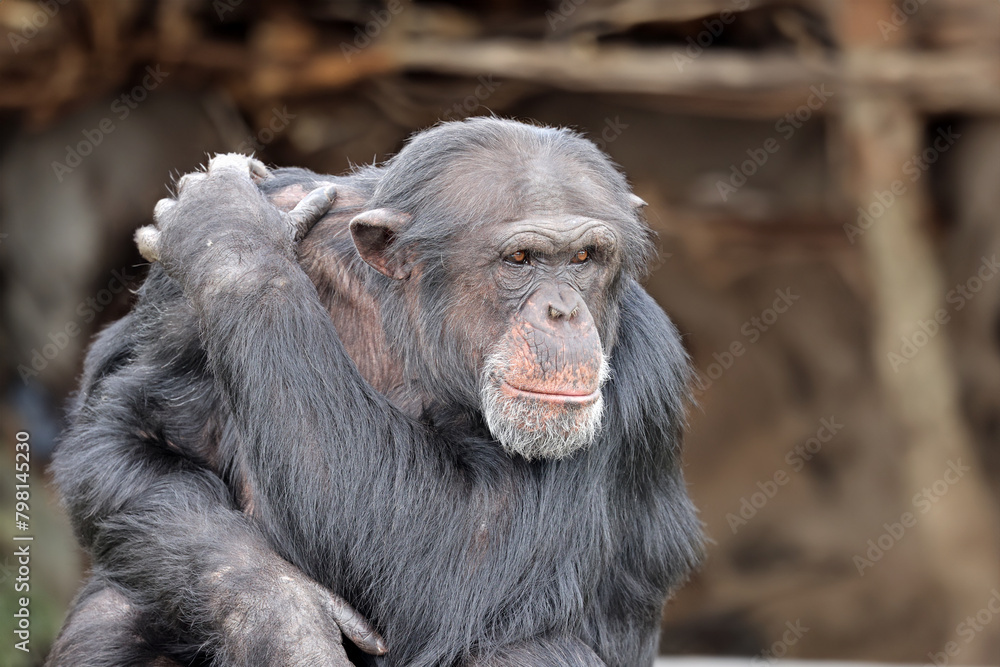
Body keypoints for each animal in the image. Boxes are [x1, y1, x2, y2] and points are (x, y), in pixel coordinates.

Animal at [48, 117, 704, 664]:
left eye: (586, 257)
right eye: (521, 258)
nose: (564, 311)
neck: (410, 325)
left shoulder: (643, 374)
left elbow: (455, 561)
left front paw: (225, 226)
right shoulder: (181, 303)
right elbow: (125, 432)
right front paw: (280, 613)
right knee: (113, 611)